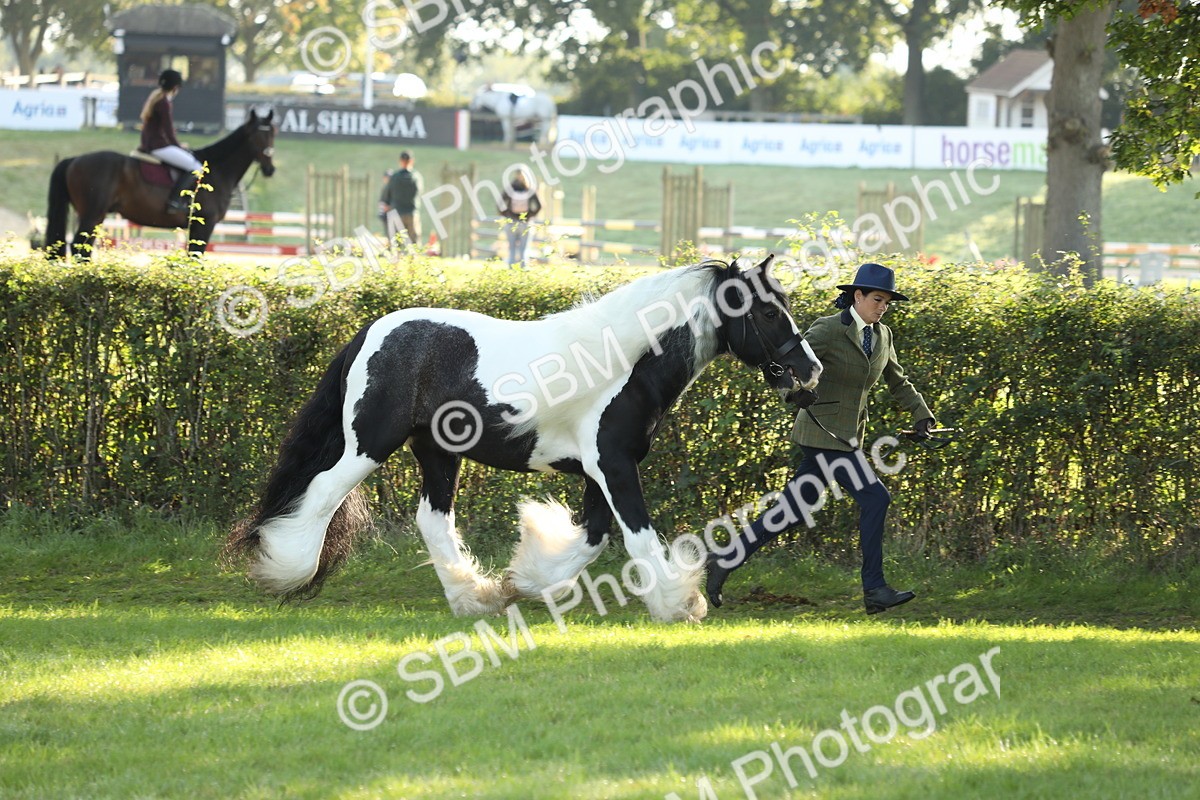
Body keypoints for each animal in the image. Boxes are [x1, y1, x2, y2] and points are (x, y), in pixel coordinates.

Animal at [44, 109, 277, 260]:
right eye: (257, 134)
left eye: (272, 133)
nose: (270, 169)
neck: (217, 169)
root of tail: (74, 159)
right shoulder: (205, 224)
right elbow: (196, 257)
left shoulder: (197, 226)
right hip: (92, 215)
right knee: (79, 248)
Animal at [226, 255, 823, 623]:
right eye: (768, 310)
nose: (810, 370)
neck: (626, 365)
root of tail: (372, 332)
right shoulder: (615, 467)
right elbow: (637, 537)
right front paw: (680, 603)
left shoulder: (598, 473)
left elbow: (592, 538)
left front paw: (525, 579)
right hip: (369, 445)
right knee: (320, 496)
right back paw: (286, 573)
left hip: (437, 453)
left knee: (432, 520)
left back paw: (476, 597)